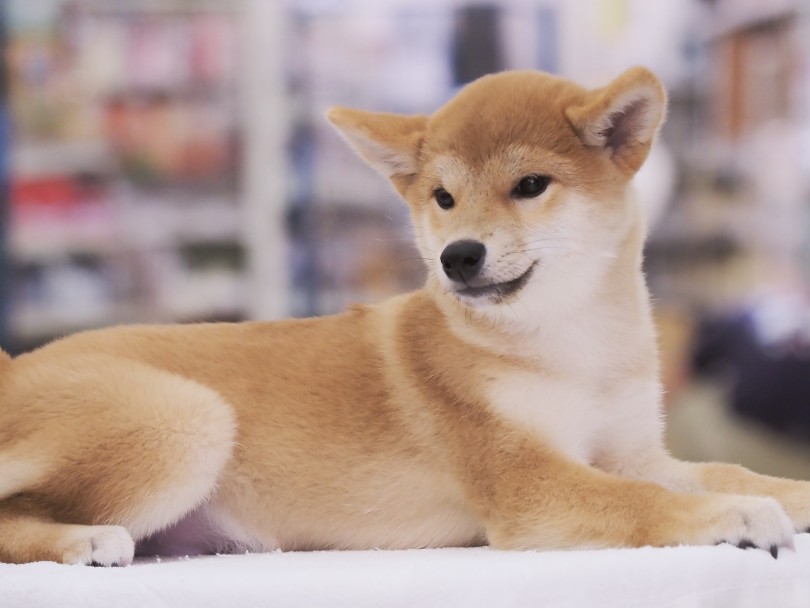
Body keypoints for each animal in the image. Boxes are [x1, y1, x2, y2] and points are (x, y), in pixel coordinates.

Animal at [1, 67, 808, 564]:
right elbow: (642, 501)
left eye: (530, 185)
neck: (572, 346)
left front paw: (786, 494)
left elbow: (728, 469)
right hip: (186, 419)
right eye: (443, 198)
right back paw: (82, 542)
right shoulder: (527, 484)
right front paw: (732, 517)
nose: (458, 256)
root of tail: (16, 366)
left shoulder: (635, 452)